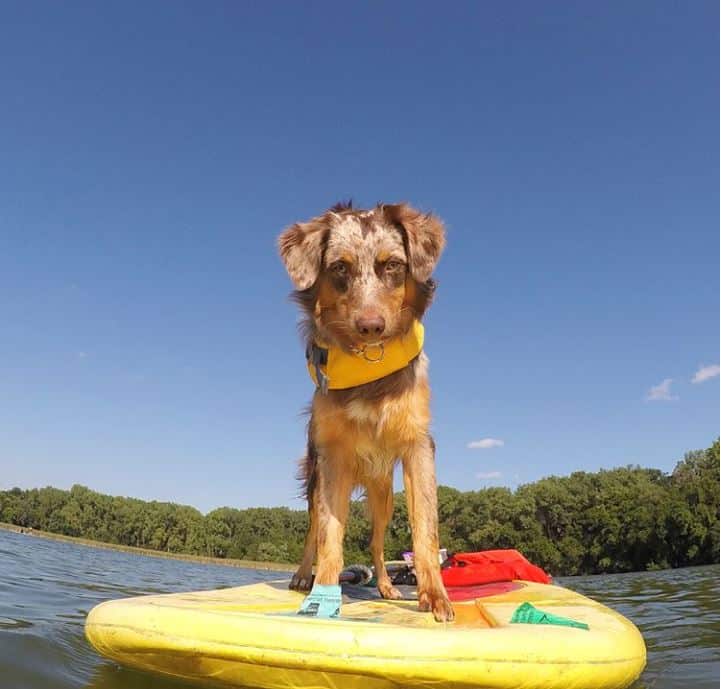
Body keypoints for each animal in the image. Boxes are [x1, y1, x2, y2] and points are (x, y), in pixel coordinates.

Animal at [278, 200, 452, 624]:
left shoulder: (419, 446)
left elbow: (425, 529)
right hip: (315, 477)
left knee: (376, 541)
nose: (371, 326)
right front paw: (322, 595)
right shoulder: (332, 457)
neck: (367, 365)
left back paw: (387, 586)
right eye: (339, 267)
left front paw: (435, 595)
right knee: (312, 530)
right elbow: (330, 536)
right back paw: (302, 576)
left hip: (383, 495)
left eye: (393, 265)